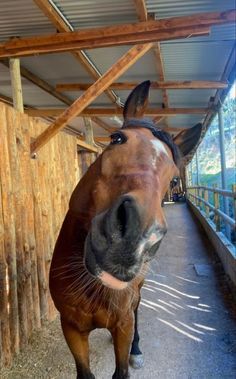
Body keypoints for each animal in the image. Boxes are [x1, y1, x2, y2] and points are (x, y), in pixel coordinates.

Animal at [49, 81, 201, 378]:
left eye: (173, 179)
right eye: (116, 138)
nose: (134, 240)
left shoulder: (123, 324)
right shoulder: (70, 327)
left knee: (138, 308)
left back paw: (137, 349)